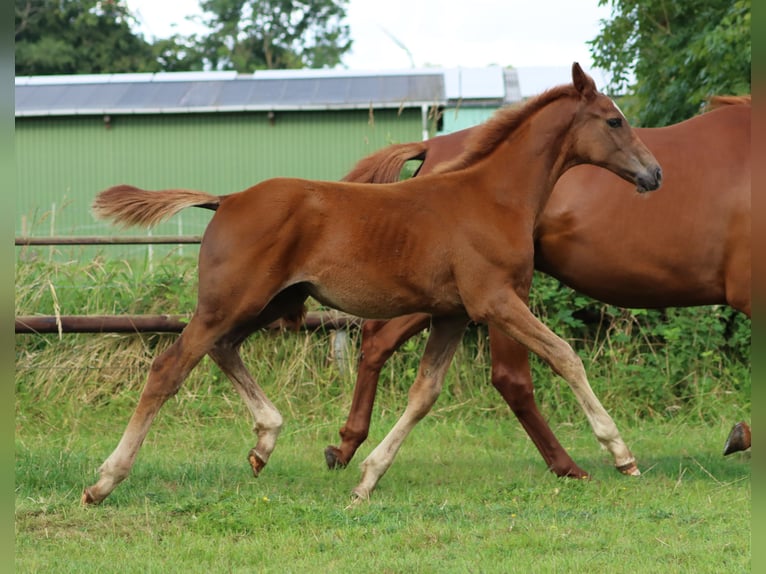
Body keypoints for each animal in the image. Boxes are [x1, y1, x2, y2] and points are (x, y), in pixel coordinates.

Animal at [82, 63, 660, 506]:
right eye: (614, 120)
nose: (654, 174)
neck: (493, 198)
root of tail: (227, 199)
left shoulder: (452, 314)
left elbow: (424, 394)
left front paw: (366, 478)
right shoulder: (495, 301)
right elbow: (565, 355)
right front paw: (621, 454)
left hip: (268, 303)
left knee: (223, 350)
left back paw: (264, 442)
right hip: (231, 302)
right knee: (169, 367)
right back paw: (105, 481)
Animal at [328, 95, 752, 482]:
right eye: (614, 121)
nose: (655, 174)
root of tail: (434, 147)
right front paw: (740, 436)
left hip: (446, 297)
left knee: (379, 339)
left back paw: (346, 445)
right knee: (510, 378)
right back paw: (571, 464)